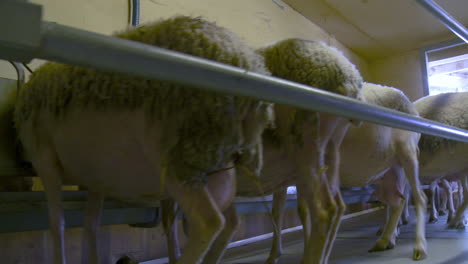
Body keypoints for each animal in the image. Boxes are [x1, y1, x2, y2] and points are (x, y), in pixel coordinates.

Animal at [13, 16, 274, 264]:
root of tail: (243, 59)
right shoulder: (96, 178)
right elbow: (91, 224)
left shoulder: (45, 160)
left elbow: (57, 224)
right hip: (213, 163)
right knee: (231, 222)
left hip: (178, 156)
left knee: (208, 221)